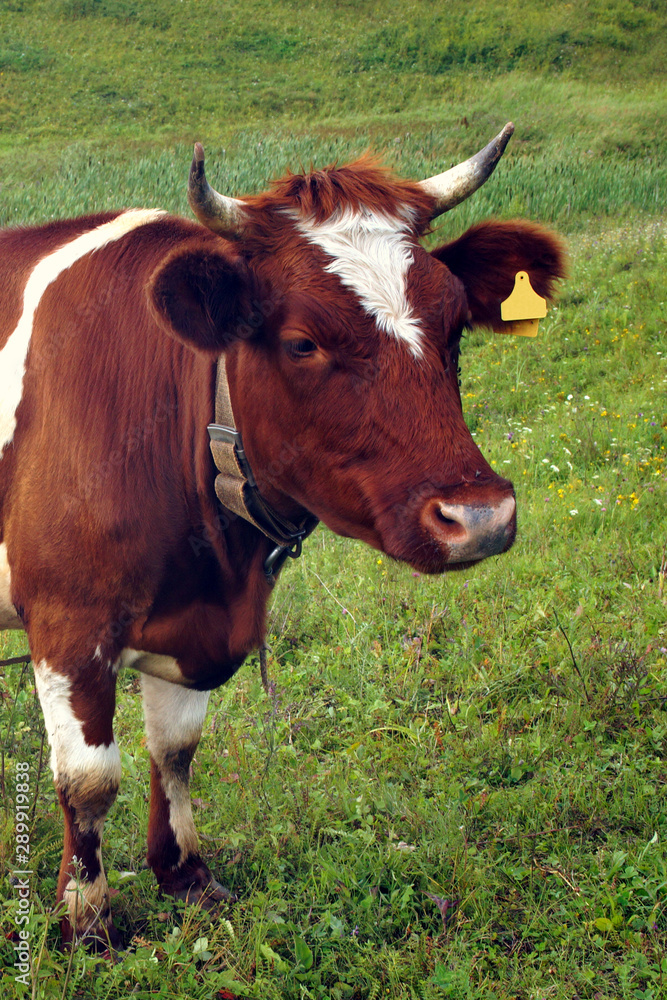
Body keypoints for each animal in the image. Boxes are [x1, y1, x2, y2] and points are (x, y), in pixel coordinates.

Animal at [0, 121, 564, 948]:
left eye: (456, 324)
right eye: (302, 343)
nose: (480, 518)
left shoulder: (194, 623)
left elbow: (176, 751)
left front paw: (186, 876)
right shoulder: (68, 623)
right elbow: (89, 781)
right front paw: (85, 923)